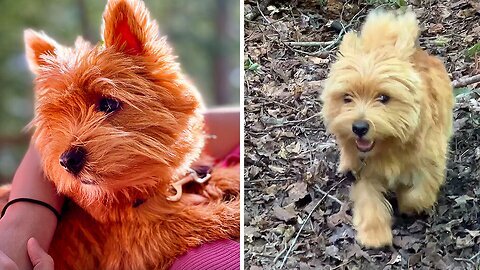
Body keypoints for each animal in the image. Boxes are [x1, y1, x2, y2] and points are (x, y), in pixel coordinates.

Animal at [0, 0, 240, 268]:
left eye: (108, 104)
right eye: (58, 118)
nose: (67, 160)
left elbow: (214, 176)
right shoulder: (135, 245)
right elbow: (190, 219)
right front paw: (235, 212)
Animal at [322, 11, 454, 249]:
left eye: (384, 98)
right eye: (347, 98)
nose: (359, 127)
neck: (390, 145)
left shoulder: (430, 163)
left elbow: (419, 193)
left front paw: (407, 202)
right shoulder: (366, 171)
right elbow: (369, 198)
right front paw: (374, 234)